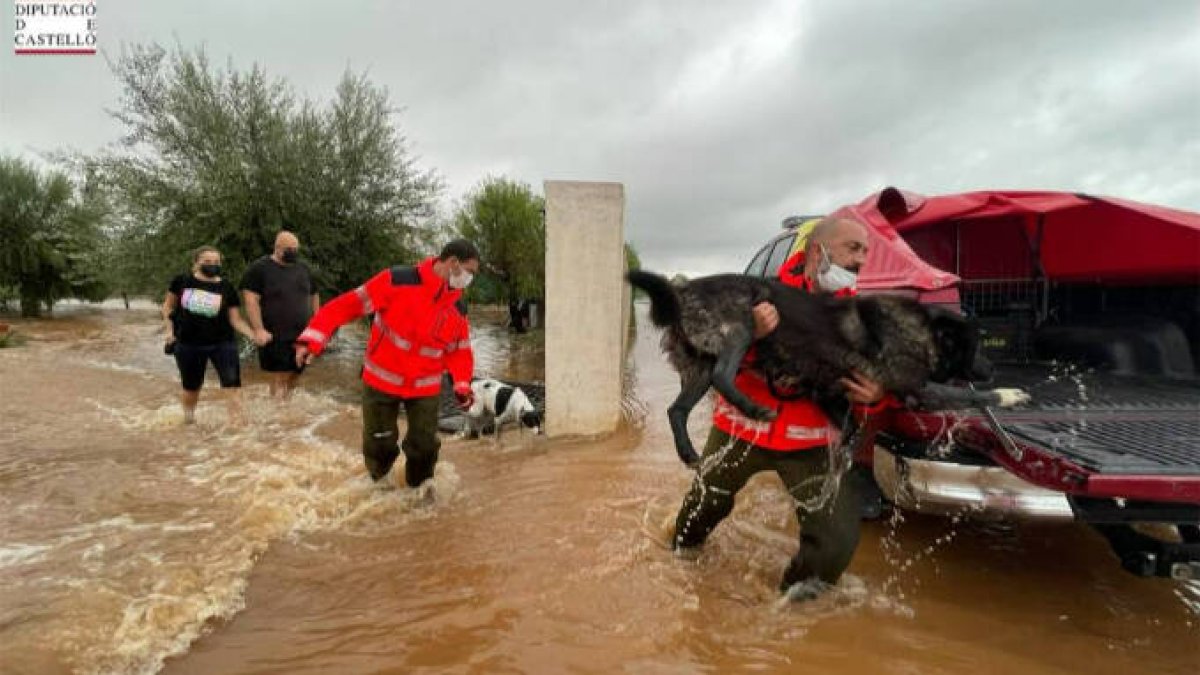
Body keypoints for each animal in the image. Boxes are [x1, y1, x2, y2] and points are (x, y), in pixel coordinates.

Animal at [296, 239, 482, 485]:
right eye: (471, 269)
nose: (471, 278)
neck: (439, 289)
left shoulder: (460, 317)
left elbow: (458, 350)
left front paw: (463, 391)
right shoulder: (385, 281)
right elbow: (349, 303)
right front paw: (307, 347)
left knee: (420, 444)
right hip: (379, 396)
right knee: (380, 442)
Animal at [628, 266, 1032, 461]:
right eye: (976, 348)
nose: (993, 369)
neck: (922, 331)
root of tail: (681, 290)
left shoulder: (826, 391)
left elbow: (850, 426)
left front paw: (845, 454)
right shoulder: (919, 393)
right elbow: (972, 397)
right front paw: (1009, 394)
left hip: (697, 368)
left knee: (676, 410)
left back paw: (687, 452)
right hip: (743, 327)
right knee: (723, 376)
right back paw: (755, 409)